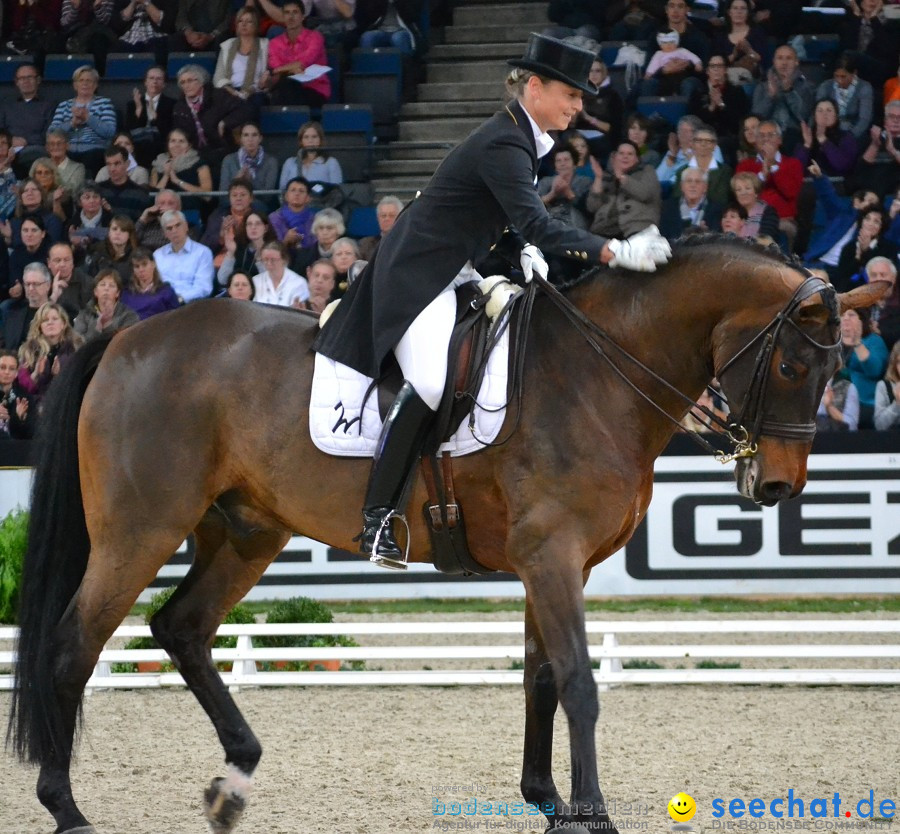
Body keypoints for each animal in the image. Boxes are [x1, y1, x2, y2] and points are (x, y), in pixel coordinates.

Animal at [3, 236, 884, 832]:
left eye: (838, 369)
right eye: (794, 366)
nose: (776, 487)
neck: (598, 372)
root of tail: (127, 335)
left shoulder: (551, 565)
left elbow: (541, 679)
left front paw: (549, 803)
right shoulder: (552, 557)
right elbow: (579, 683)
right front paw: (593, 812)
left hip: (246, 532)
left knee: (180, 628)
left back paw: (234, 780)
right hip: (140, 530)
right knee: (72, 646)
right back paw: (67, 808)